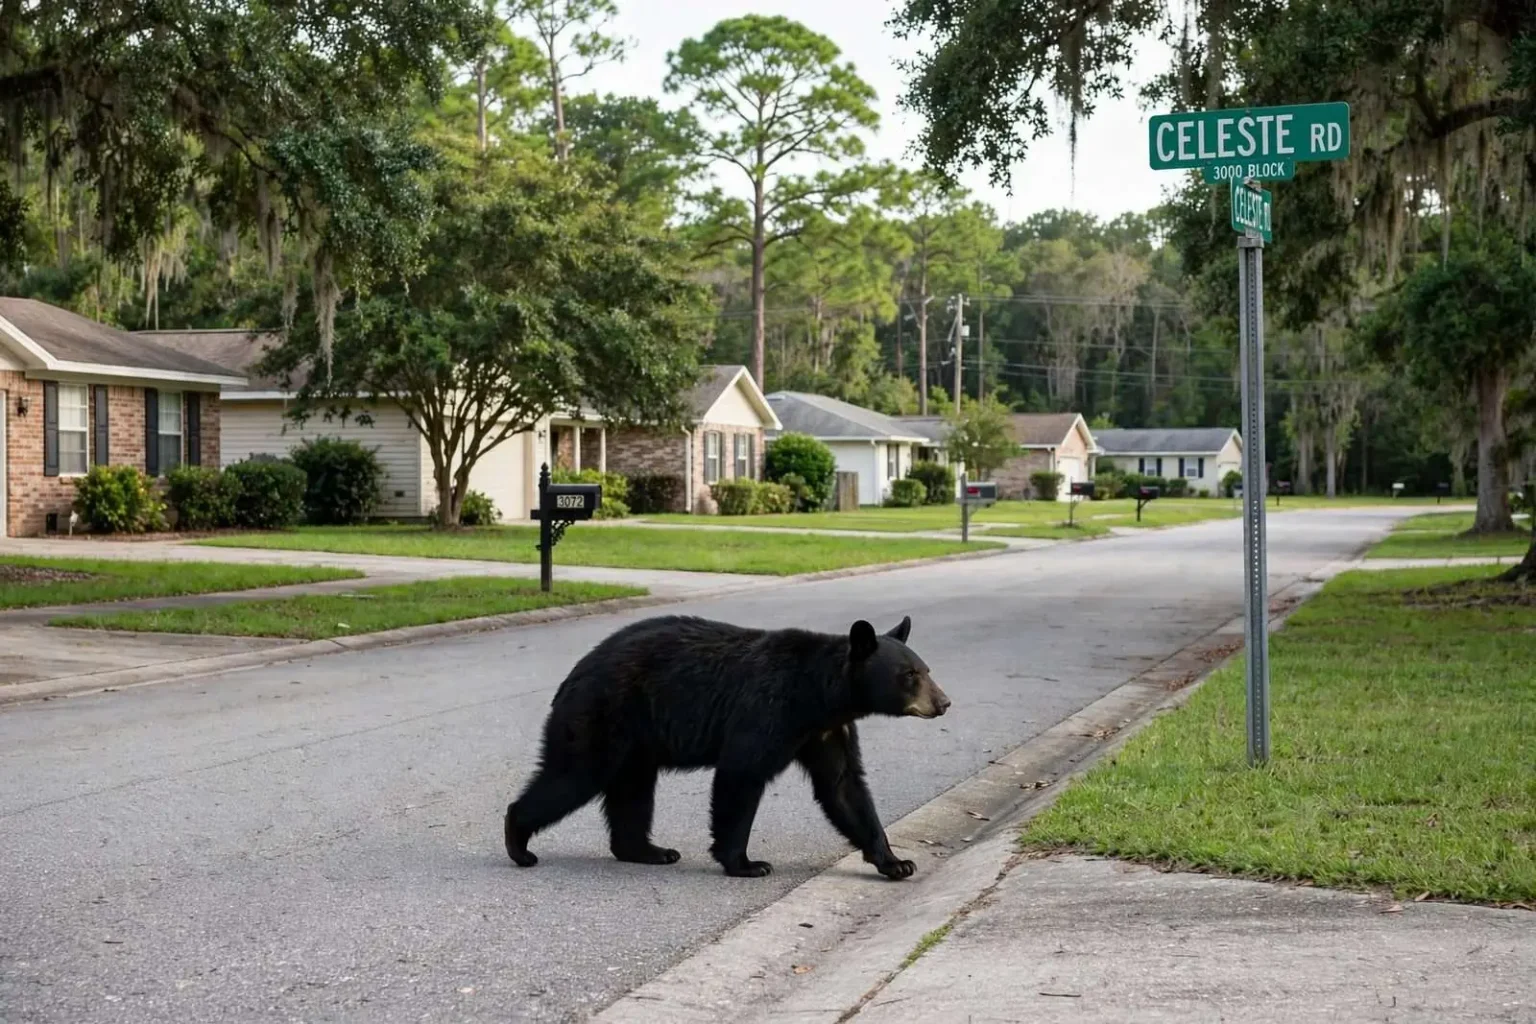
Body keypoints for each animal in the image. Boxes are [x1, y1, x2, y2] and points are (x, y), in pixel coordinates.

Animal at [504, 614, 950, 879]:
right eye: (910, 674)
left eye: (926, 669)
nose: (943, 702)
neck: (819, 694)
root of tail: (572, 675)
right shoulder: (770, 709)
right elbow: (742, 773)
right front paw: (747, 864)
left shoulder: (826, 731)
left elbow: (844, 787)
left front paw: (896, 862)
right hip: (602, 716)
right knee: (574, 775)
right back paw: (519, 843)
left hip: (637, 742)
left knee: (632, 791)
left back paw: (649, 850)